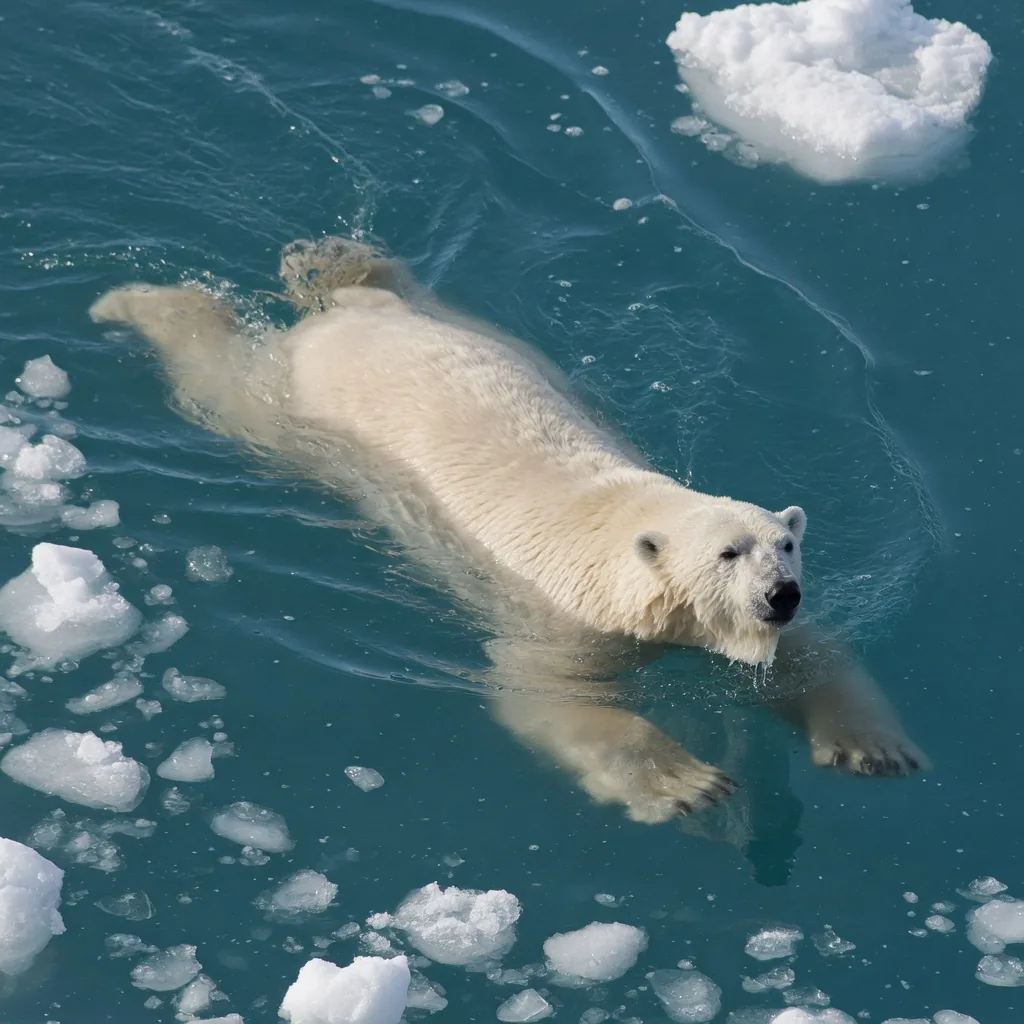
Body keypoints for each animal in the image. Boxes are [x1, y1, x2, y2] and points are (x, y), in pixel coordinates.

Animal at [89, 236, 929, 825]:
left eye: (788, 546)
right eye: (729, 552)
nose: (779, 596)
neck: (624, 524)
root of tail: (342, 329)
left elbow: (813, 658)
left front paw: (875, 749)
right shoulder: (565, 617)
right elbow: (545, 697)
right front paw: (690, 785)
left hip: (472, 329)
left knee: (396, 288)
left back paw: (333, 258)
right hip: (285, 412)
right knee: (219, 376)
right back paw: (137, 303)